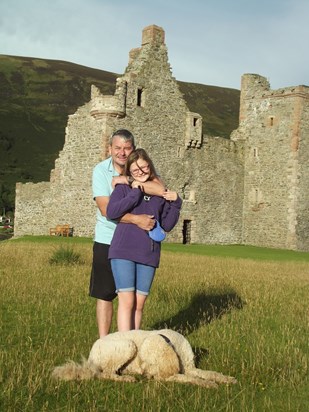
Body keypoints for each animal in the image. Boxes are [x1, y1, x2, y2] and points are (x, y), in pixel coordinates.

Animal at [52, 328, 236, 386]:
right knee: (104, 374)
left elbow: (210, 373)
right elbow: (188, 378)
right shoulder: (167, 375)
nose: (146, 376)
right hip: (127, 345)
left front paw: (226, 379)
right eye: (144, 363)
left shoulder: (191, 367)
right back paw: (126, 378)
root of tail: (91, 353)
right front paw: (207, 384)